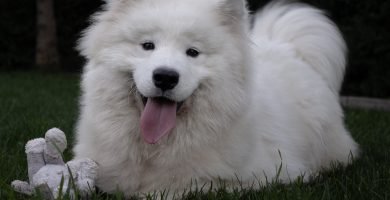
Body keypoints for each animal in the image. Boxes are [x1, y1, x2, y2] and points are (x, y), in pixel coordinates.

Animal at [73, 0, 360, 197]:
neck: (153, 149)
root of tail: (285, 46)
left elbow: (188, 186)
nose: (165, 77)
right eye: (147, 46)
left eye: (192, 52)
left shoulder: (262, 176)